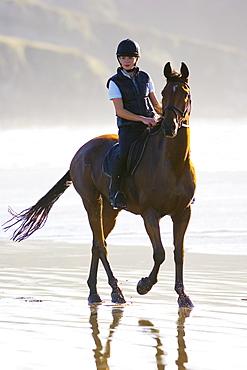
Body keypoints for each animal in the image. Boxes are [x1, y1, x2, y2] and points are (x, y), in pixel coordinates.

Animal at [3, 62, 197, 308]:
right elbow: (160, 253)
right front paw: (143, 285)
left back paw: (94, 292)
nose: (170, 127)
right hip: (91, 201)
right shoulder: (150, 214)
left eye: (185, 93)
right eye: (164, 94)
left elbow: (178, 253)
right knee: (101, 245)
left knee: (97, 241)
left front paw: (183, 296)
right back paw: (116, 291)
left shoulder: (183, 213)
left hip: (111, 209)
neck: (173, 163)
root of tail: (81, 151)